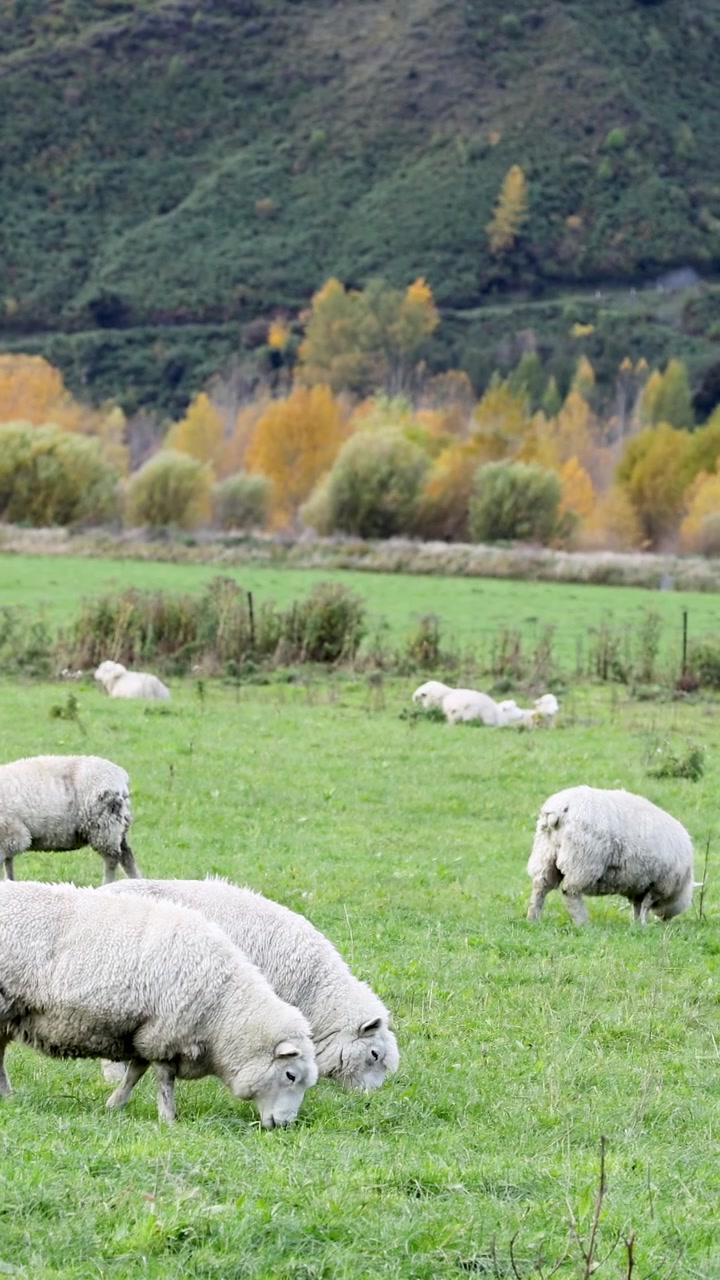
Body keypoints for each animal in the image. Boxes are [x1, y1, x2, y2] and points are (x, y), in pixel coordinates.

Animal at [0, 754, 140, 883]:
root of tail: (120, 776)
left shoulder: (13, 836)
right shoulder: (9, 838)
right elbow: (8, 864)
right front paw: (10, 882)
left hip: (103, 826)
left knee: (112, 859)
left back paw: (107, 884)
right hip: (116, 826)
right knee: (127, 856)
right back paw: (137, 880)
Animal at [0, 880, 317, 1125]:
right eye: (290, 1075)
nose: (285, 1124)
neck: (222, 1008)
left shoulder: (145, 1032)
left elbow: (135, 1072)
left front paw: (115, 1104)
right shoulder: (165, 1033)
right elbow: (165, 1080)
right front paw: (168, 1118)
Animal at [526, 785, 695, 925]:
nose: (664, 920)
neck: (682, 883)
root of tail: (559, 809)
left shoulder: (639, 886)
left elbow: (637, 906)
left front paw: (636, 924)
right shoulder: (660, 884)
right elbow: (645, 906)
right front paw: (643, 924)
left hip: (545, 854)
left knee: (540, 885)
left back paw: (533, 918)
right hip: (582, 860)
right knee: (570, 891)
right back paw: (583, 923)